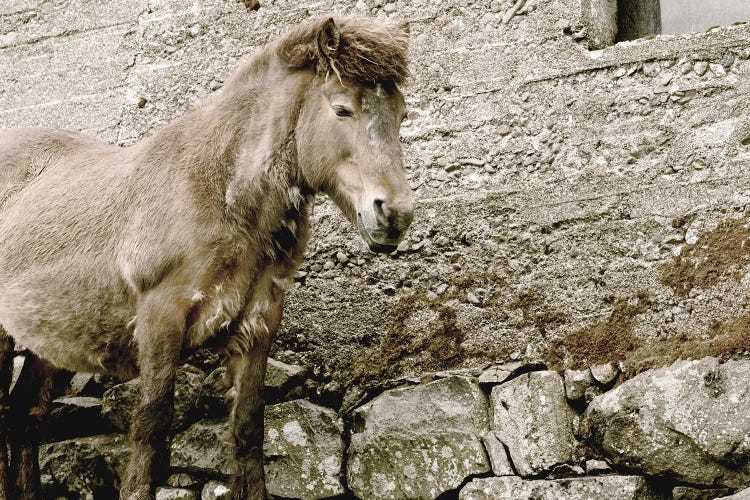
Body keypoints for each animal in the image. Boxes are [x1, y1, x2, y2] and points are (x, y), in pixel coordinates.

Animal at [0, 15, 412, 500]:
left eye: (402, 115)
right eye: (343, 109)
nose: (396, 215)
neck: (221, 189)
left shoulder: (257, 323)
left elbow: (249, 430)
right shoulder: (161, 317)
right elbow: (151, 424)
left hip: (51, 342)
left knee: (23, 418)